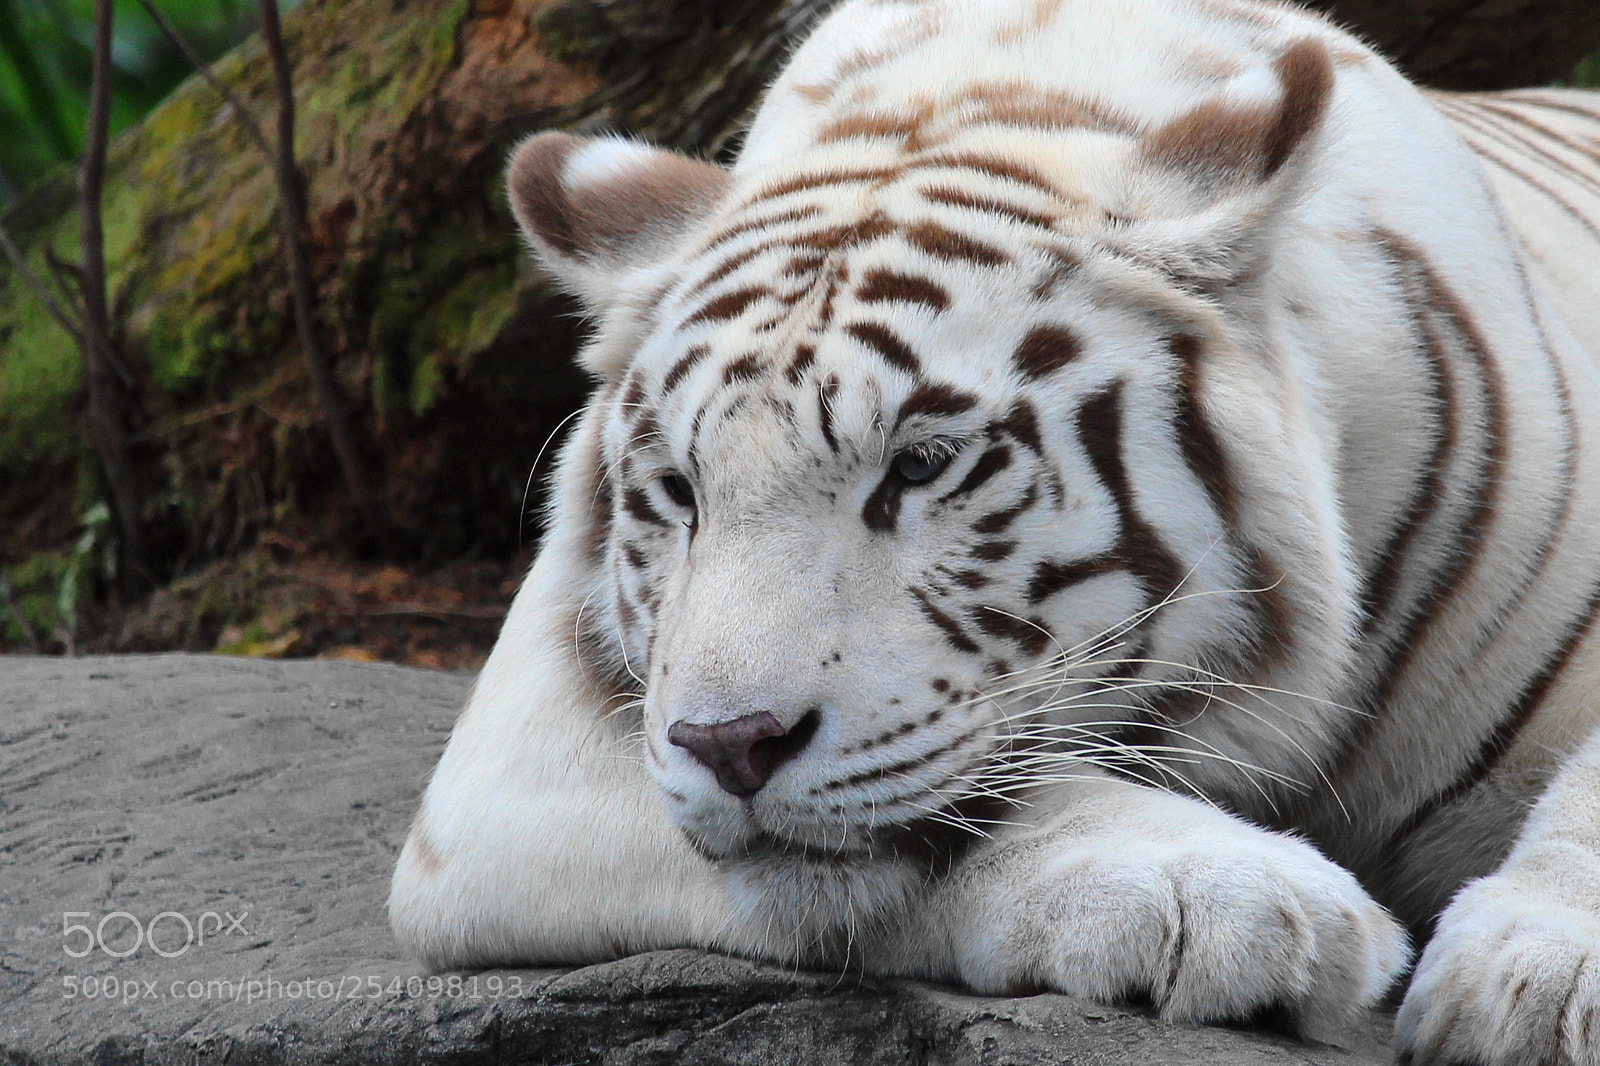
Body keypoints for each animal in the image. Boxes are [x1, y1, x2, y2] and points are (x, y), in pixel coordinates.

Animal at [388, 0, 1600, 1061]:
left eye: (921, 465)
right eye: (683, 490)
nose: (731, 745)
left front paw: (1536, 981)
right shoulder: (509, 770)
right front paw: (1240, 903)